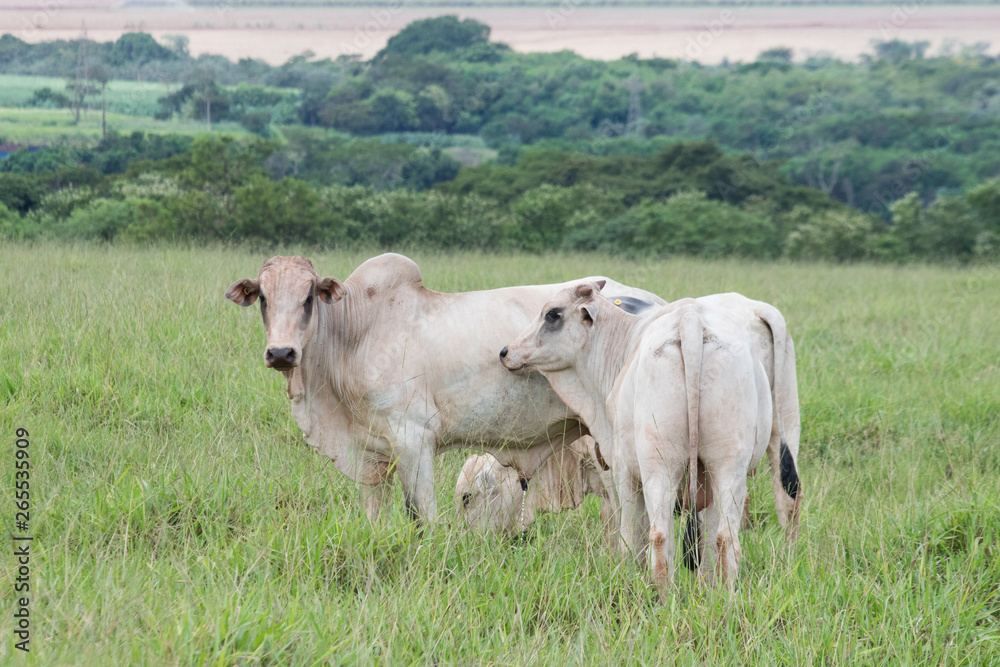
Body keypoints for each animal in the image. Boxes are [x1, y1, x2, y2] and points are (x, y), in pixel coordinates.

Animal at [225, 254, 664, 525]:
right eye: (263, 298)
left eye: (307, 298)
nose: (281, 353)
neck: (356, 333)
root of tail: (656, 303)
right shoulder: (370, 454)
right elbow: (374, 515)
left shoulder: (413, 439)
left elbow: (422, 516)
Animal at [501, 282, 775, 591]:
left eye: (552, 314)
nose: (505, 351)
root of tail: (691, 321)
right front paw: (707, 588)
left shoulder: (623, 471)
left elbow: (630, 536)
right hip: (728, 466)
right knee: (725, 538)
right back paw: (723, 598)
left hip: (660, 465)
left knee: (659, 535)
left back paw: (660, 597)